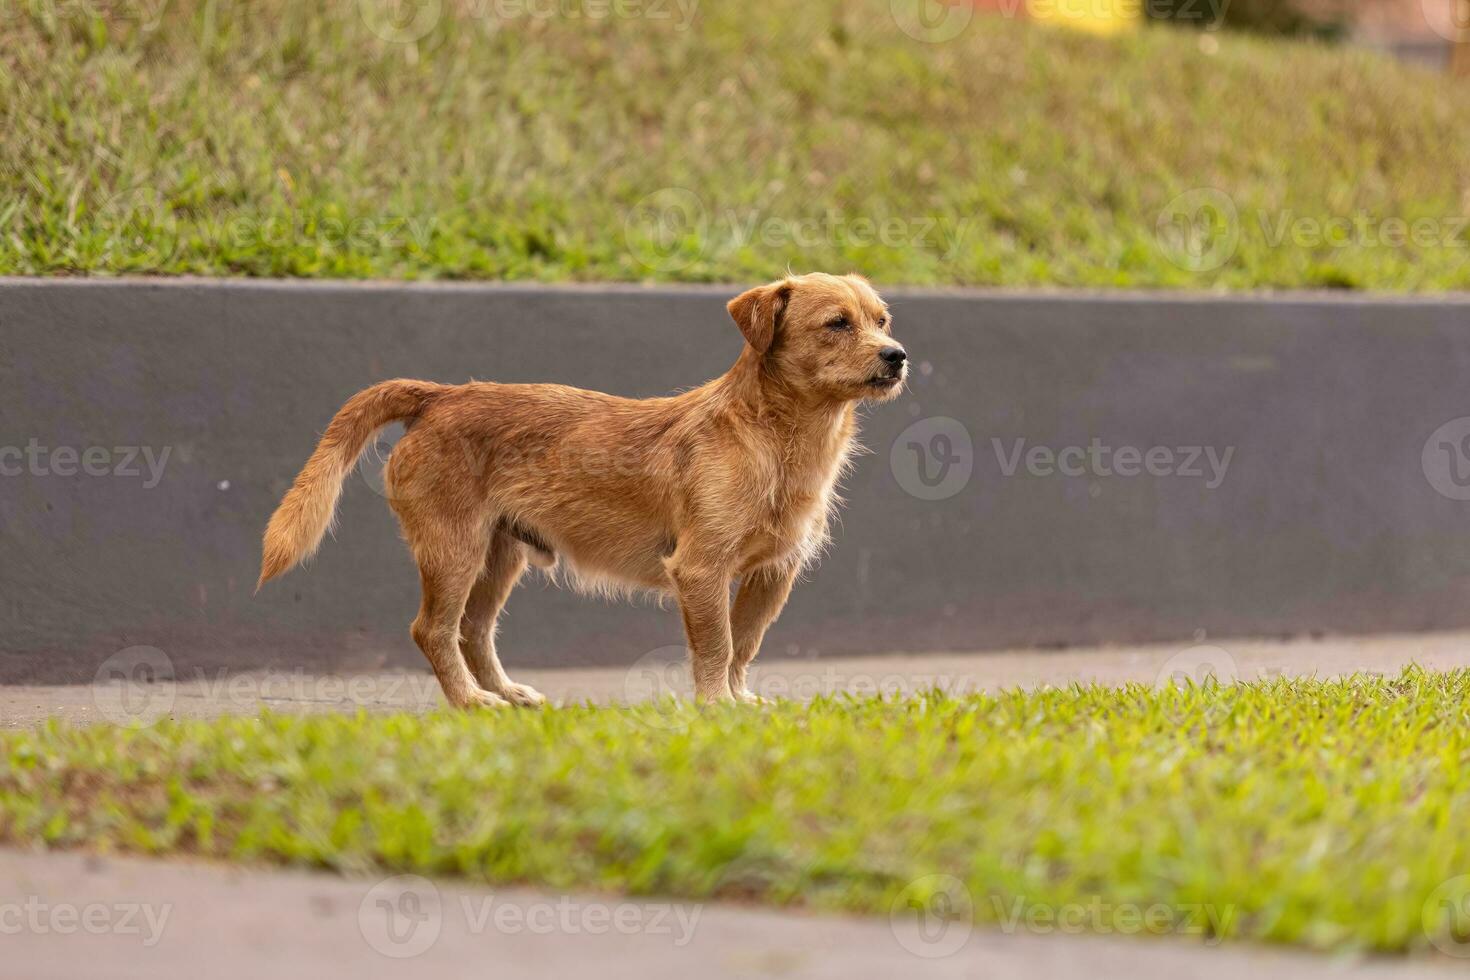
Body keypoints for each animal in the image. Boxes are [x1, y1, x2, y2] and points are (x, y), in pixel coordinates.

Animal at [261, 271, 905, 708]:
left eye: (882, 320)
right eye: (837, 323)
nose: (898, 356)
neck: (780, 439)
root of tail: (441, 395)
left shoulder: (773, 573)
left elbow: (744, 644)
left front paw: (739, 702)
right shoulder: (701, 569)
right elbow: (717, 645)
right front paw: (714, 707)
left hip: (499, 558)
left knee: (474, 630)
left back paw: (506, 694)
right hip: (454, 551)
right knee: (433, 630)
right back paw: (471, 701)